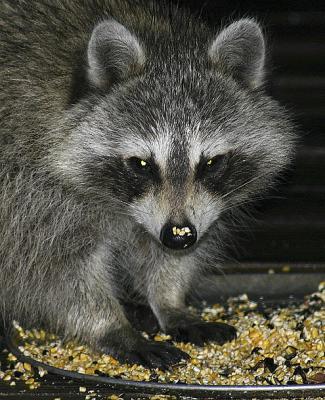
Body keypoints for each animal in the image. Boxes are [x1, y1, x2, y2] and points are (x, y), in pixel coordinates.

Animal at [0, 0, 294, 368]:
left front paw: (168, 299)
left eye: (211, 163)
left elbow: (164, 256)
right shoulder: (30, 192)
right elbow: (56, 271)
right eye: (142, 164)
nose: (179, 236)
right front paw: (110, 325)